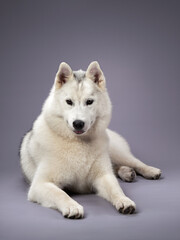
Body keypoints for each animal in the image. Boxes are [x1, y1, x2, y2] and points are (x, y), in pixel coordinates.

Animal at [20, 62, 162, 219]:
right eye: (69, 102)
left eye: (89, 102)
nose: (78, 123)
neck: (79, 143)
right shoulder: (40, 184)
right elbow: (60, 194)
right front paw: (72, 206)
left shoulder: (103, 176)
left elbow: (115, 189)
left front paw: (124, 200)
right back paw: (126, 172)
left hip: (117, 153)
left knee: (135, 162)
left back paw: (149, 170)